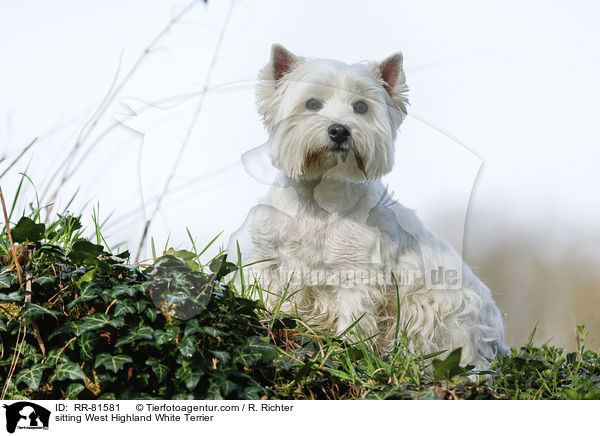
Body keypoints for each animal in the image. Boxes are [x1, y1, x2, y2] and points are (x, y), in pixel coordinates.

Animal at [232, 44, 508, 370]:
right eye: (312, 103)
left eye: (361, 107)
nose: (340, 130)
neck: (317, 200)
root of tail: (498, 342)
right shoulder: (268, 258)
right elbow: (268, 295)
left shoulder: (357, 274)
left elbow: (353, 322)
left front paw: (343, 354)